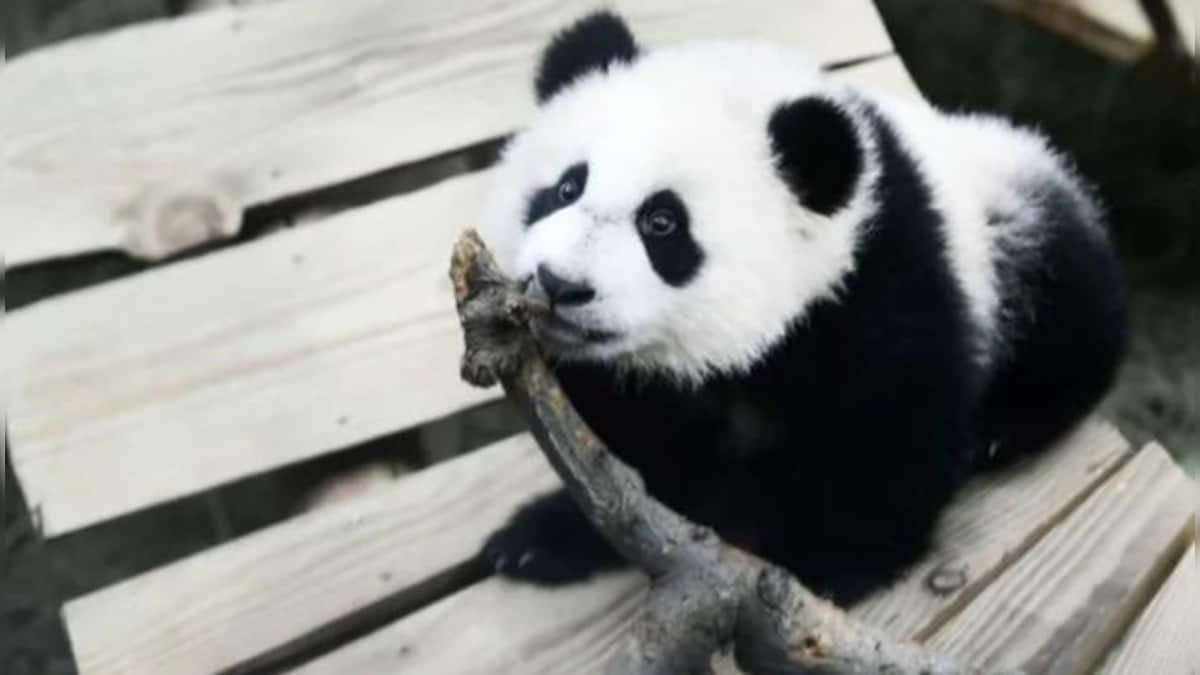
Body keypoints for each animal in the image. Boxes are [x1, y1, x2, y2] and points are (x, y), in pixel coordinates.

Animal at [475, 10, 1123, 600]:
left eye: (662, 223)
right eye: (566, 187)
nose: (558, 284)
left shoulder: (885, 279)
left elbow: (891, 426)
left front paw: (826, 565)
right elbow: (623, 448)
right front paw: (546, 537)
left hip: (1020, 227)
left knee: (1068, 324)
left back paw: (1003, 429)